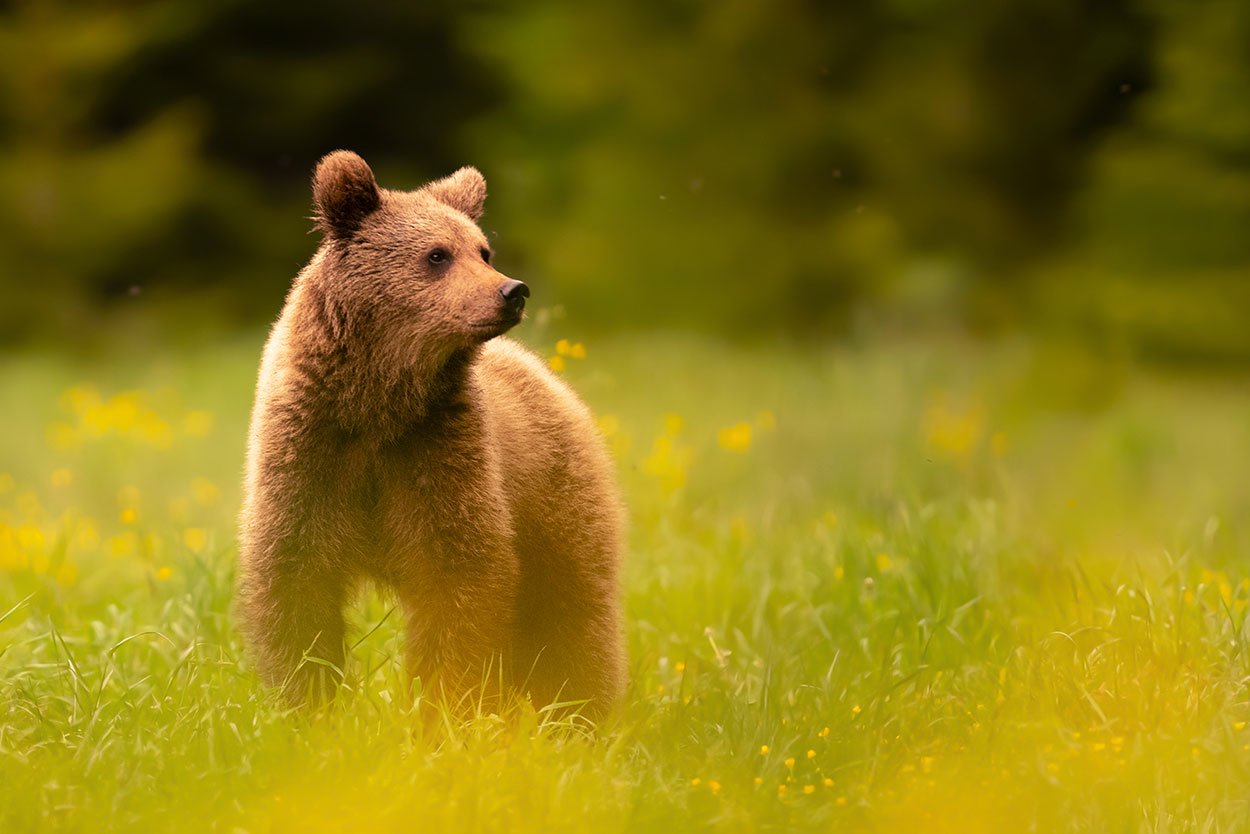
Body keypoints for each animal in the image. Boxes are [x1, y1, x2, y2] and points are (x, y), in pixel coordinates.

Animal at [235, 150, 625, 720]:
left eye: (483, 250)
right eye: (438, 254)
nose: (512, 290)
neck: (379, 403)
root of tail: (548, 375)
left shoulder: (438, 451)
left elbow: (458, 579)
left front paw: (444, 703)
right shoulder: (312, 453)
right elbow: (296, 582)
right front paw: (311, 702)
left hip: (556, 503)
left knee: (573, 612)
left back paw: (578, 712)